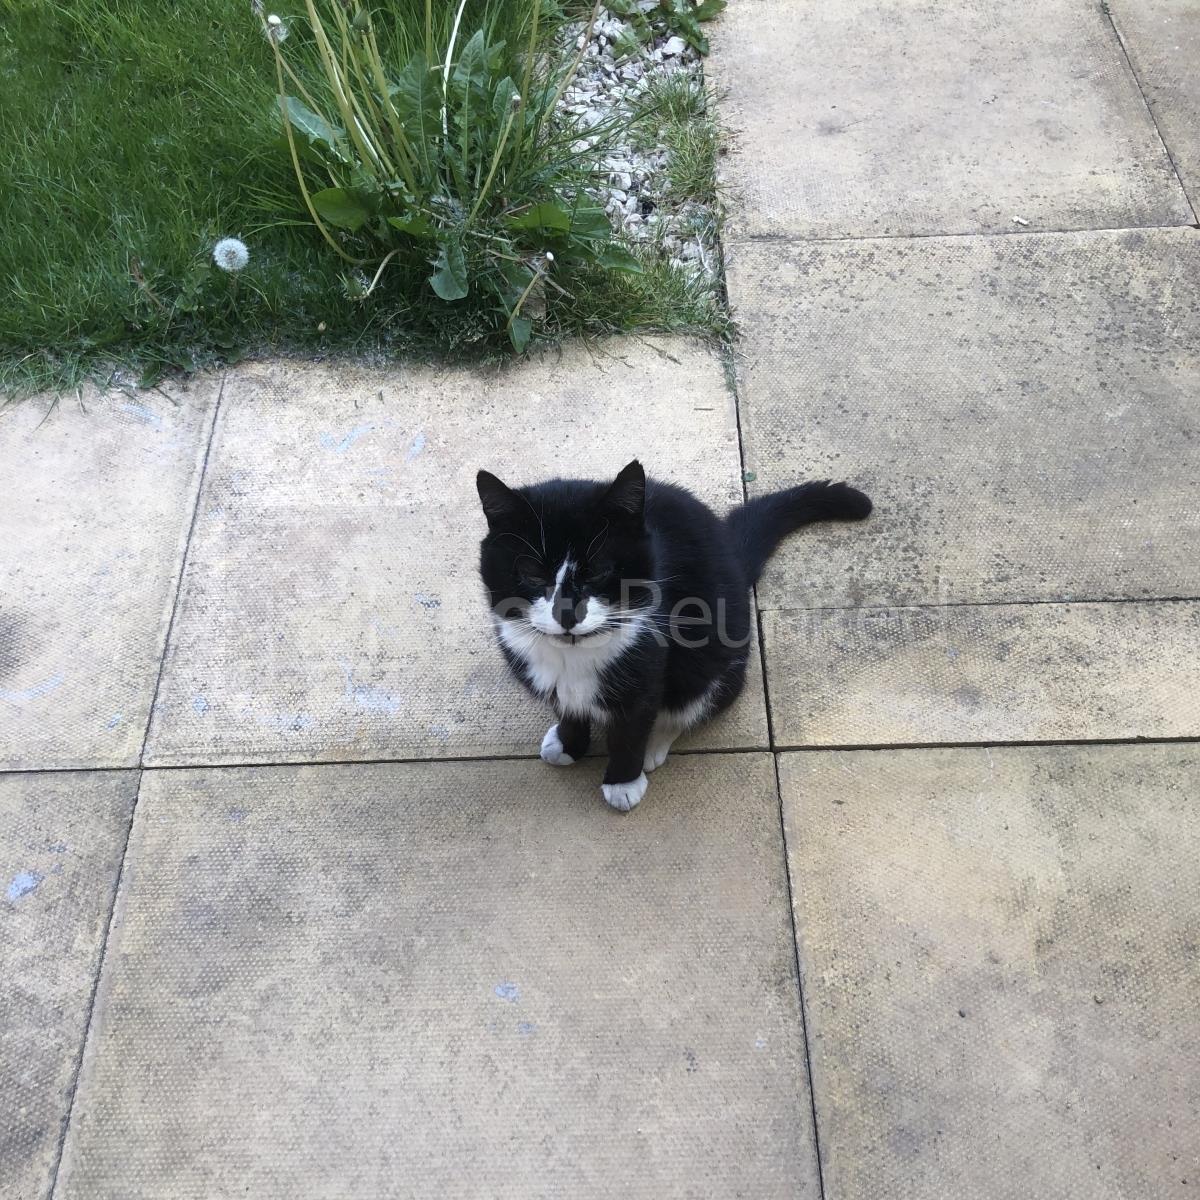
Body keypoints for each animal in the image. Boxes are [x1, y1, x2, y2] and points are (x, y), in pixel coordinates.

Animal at [476, 460, 871, 811]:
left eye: (601, 571)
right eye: (531, 573)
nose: (567, 613)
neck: (574, 655)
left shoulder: (650, 657)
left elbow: (635, 720)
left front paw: (623, 781)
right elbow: (569, 706)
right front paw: (569, 742)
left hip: (717, 656)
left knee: (694, 697)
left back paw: (656, 743)